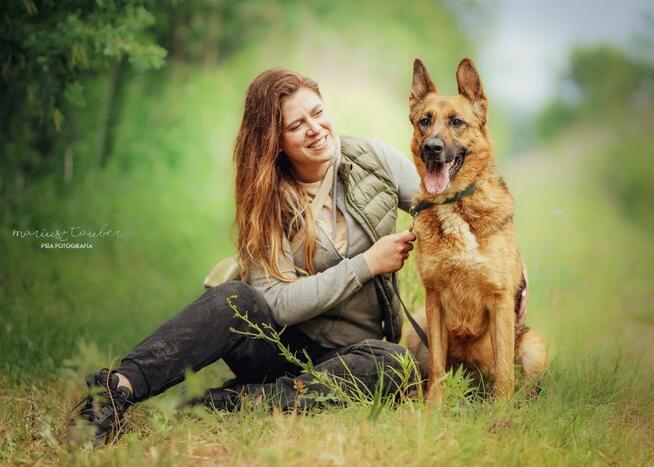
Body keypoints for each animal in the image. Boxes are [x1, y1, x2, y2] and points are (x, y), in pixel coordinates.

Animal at [404, 56, 548, 404]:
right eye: (424, 121)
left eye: (457, 122)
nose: (432, 148)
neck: (455, 204)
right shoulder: (434, 301)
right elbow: (438, 368)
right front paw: (433, 408)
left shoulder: (500, 301)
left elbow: (504, 370)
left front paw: (501, 412)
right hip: (415, 327)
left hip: (535, 345)